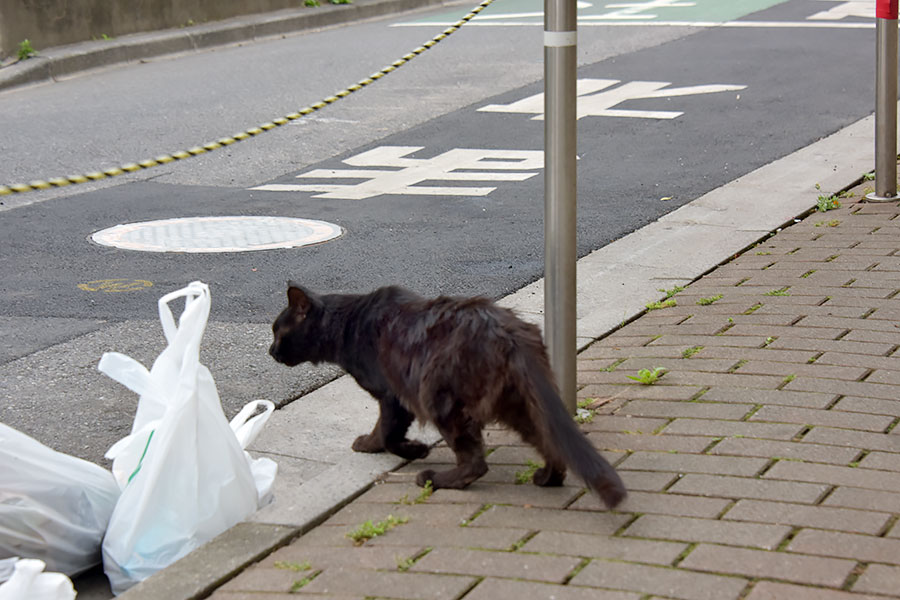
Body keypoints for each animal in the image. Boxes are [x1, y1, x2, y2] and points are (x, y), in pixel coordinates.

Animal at [268, 282, 624, 506]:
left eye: (276, 331)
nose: (270, 351)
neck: (349, 322)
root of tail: (508, 331)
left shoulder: (394, 396)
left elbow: (387, 433)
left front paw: (402, 449)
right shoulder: (397, 398)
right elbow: (386, 431)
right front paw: (389, 446)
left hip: (439, 399)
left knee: (476, 464)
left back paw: (436, 478)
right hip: (520, 406)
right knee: (552, 445)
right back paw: (547, 478)